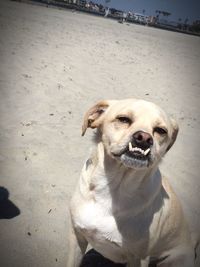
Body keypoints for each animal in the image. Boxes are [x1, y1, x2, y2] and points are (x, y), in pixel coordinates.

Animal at [67, 99, 194, 267]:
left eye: (160, 130)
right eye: (123, 119)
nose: (144, 138)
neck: (113, 189)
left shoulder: (138, 258)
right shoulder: (77, 237)